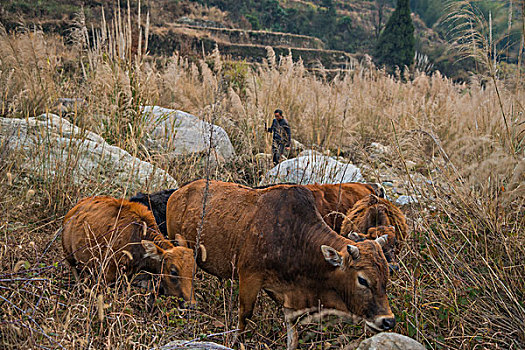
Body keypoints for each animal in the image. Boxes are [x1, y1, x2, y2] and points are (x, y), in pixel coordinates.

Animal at [63, 196, 205, 304]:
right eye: (174, 271)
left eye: (194, 271)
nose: (191, 304)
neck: (138, 235)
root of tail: (74, 210)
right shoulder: (106, 275)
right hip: (69, 255)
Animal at [167, 179, 392, 348]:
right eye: (362, 280)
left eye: (386, 279)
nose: (388, 320)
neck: (294, 236)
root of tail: (178, 193)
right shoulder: (249, 277)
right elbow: (244, 316)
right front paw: (235, 341)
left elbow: (292, 328)